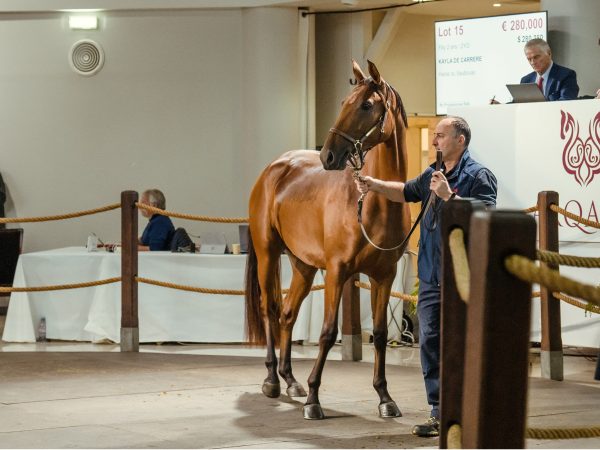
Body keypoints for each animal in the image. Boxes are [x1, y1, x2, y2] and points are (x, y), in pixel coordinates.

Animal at [246, 59, 410, 418]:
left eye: (366, 105)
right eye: (343, 102)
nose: (329, 156)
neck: (373, 202)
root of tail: (273, 168)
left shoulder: (384, 276)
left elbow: (379, 335)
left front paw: (385, 397)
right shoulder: (337, 272)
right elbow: (327, 332)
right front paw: (313, 398)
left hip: (303, 266)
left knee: (288, 313)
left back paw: (290, 379)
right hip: (268, 254)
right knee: (269, 309)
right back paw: (272, 380)